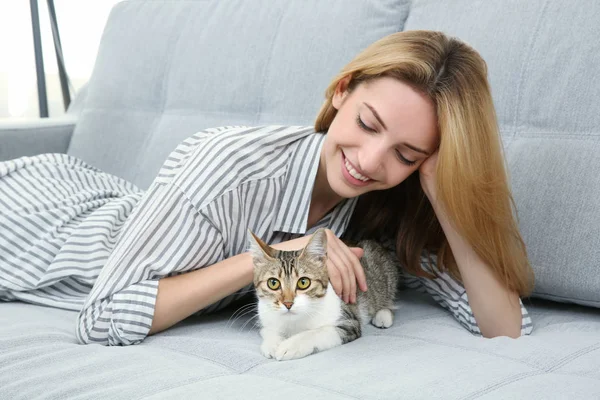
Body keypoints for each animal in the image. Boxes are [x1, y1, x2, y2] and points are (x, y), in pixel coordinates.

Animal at [248, 227, 398, 360]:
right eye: (273, 283)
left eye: (303, 282)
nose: (288, 303)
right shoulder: (264, 316)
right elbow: (268, 330)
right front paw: (272, 344)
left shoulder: (349, 322)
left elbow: (319, 332)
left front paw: (291, 345)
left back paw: (383, 315)